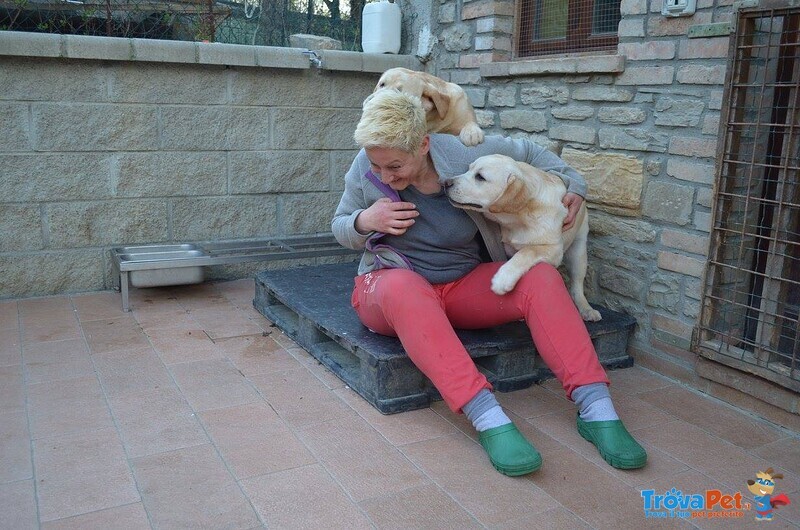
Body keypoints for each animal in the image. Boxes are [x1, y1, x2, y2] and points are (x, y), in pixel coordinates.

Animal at [444, 152, 600, 318]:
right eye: (468, 169)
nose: (446, 183)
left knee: (577, 285)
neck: (521, 217)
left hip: (578, 251)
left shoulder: (554, 249)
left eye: (480, 177)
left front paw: (503, 278)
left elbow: (527, 251)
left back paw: (586, 309)